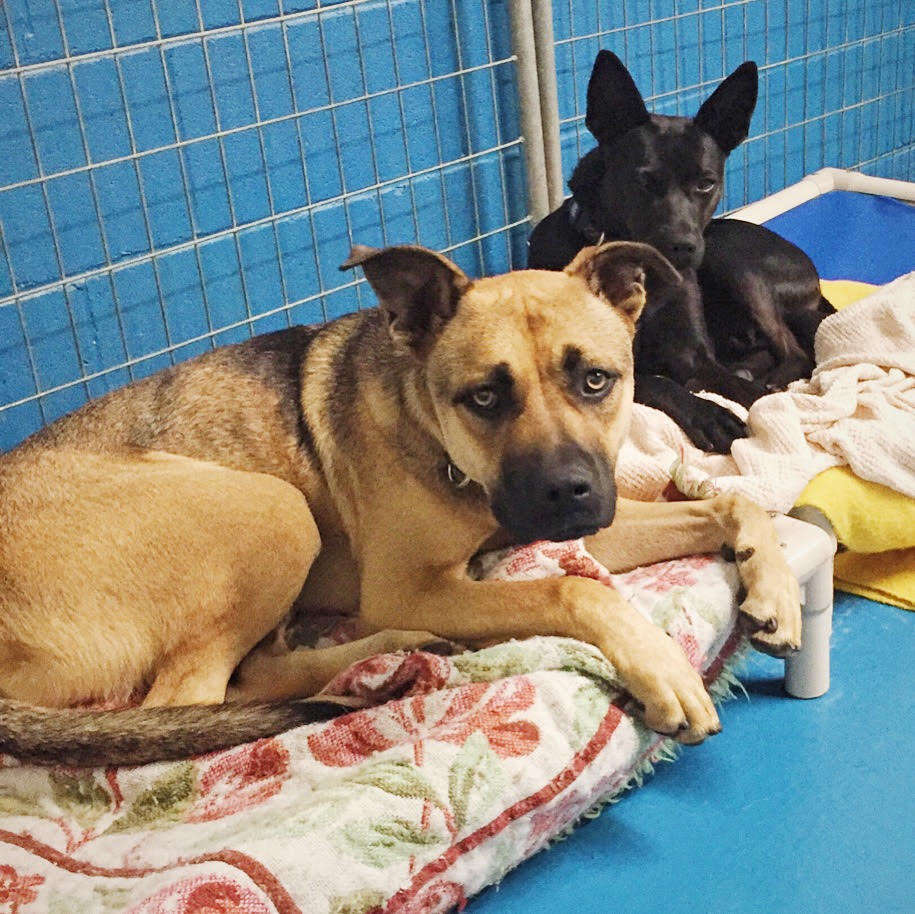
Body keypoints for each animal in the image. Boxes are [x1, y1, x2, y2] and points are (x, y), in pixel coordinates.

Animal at [0, 242, 800, 764]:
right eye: (485, 397)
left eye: (596, 380)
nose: (568, 493)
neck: (445, 448)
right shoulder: (415, 584)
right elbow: (576, 592)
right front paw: (663, 669)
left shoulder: (584, 528)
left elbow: (733, 504)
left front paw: (775, 589)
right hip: (273, 509)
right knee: (195, 697)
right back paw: (395, 651)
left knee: (250, 674)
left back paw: (396, 653)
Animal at [524, 49, 832, 448]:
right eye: (644, 180)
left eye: (706, 183)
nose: (683, 248)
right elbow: (657, 383)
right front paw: (711, 414)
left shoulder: (694, 355)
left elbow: (737, 388)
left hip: (729, 257)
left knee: (793, 350)